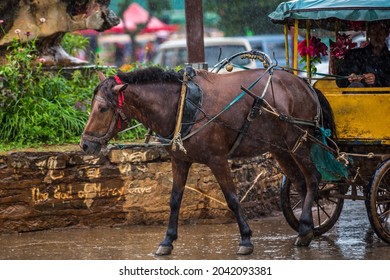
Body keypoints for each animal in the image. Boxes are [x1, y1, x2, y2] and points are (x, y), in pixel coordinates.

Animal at [80, 66, 336, 256]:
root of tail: (303, 83)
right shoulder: (179, 160)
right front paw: (167, 240)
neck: (183, 105)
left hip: (299, 141)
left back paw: (305, 226)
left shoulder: (218, 159)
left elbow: (232, 199)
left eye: (102, 108)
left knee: (313, 179)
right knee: (301, 184)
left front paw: (246, 239)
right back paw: (307, 228)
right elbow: (174, 200)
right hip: (279, 148)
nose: (85, 145)